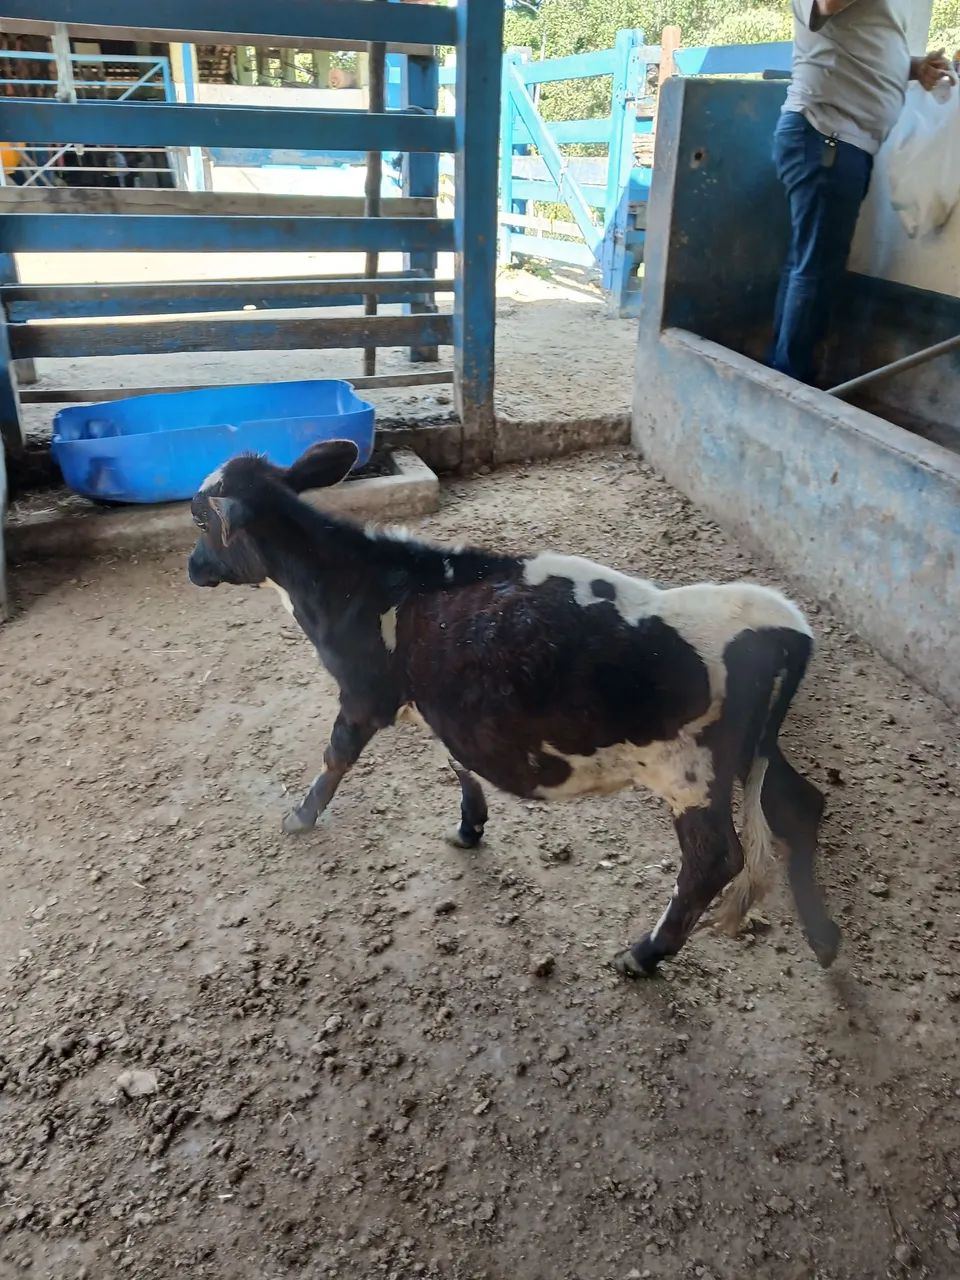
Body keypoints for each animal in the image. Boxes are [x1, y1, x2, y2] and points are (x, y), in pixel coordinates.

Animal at [187, 440, 841, 978]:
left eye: (199, 516)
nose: (193, 568)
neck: (362, 580)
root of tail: (782, 623)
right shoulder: (444, 703)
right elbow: (458, 762)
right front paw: (469, 827)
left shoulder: (363, 694)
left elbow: (336, 756)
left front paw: (300, 816)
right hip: (755, 751)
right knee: (801, 805)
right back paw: (824, 937)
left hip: (691, 771)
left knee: (713, 859)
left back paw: (644, 954)